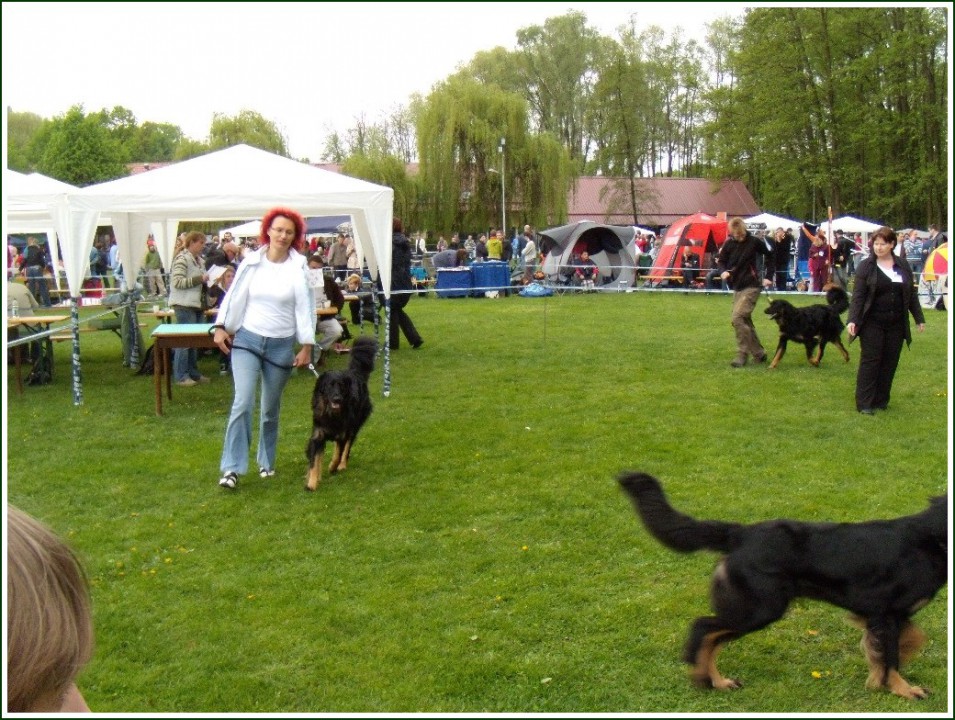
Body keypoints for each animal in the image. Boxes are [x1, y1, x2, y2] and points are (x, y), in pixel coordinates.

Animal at [308, 336, 380, 490]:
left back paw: (342, 465)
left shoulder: (343, 432)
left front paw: (333, 467)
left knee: (347, 446)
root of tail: (355, 373)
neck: (332, 414)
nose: (337, 399)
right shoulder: (318, 435)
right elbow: (315, 461)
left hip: (355, 426)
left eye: (341, 385)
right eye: (329, 385)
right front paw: (312, 483)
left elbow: (339, 453)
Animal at [620, 472, 948, 696]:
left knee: (712, 636)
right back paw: (703, 677)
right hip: (760, 608)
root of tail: (741, 534)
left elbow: (911, 640)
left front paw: (878, 676)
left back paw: (718, 681)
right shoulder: (886, 614)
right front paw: (902, 688)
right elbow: (893, 656)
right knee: (703, 627)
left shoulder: (884, 616)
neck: (930, 538)